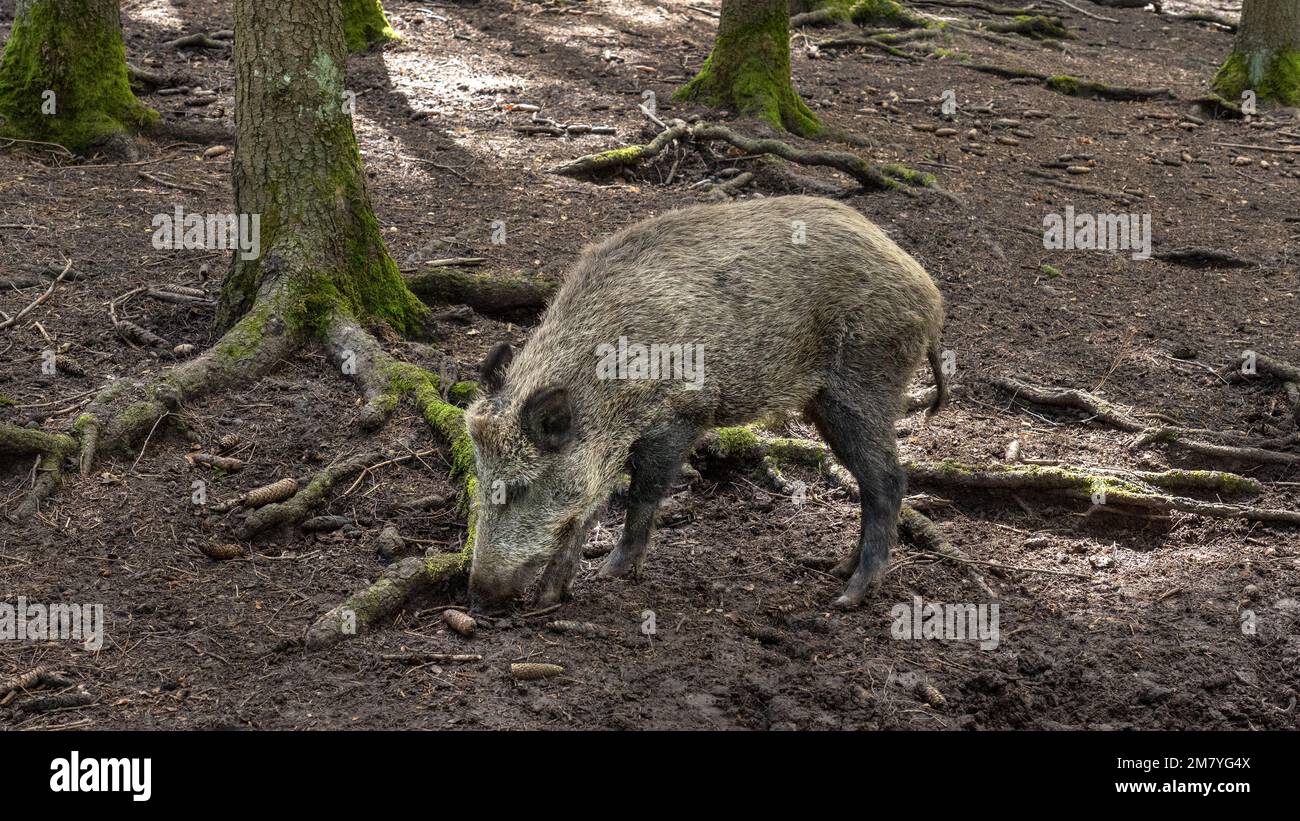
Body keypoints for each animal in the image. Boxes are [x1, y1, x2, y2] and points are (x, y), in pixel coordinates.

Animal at [465, 195, 946, 611]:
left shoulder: (682, 412)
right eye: (482, 477)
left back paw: (849, 595)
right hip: (827, 403)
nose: (479, 591)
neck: (608, 384)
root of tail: (929, 293)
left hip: (863, 385)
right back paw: (837, 570)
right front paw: (553, 597)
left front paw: (610, 573)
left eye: (520, 487)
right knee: (870, 483)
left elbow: (643, 492)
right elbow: (586, 507)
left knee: (889, 481)